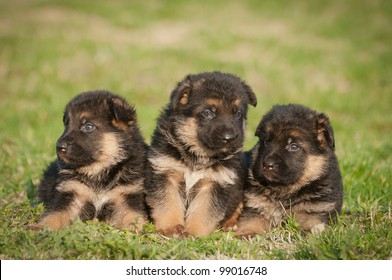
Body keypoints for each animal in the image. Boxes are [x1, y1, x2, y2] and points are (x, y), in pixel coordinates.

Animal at [32, 91, 147, 231]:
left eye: (88, 126)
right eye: (66, 125)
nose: (59, 147)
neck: (99, 171)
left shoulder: (127, 195)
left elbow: (133, 216)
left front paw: (137, 229)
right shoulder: (72, 193)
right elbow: (55, 214)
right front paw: (40, 227)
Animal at [144, 71, 258, 236]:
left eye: (237, 113)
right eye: (208, 113)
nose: (229, 138)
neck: (198, 155)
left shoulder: (215, 184)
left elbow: (204, 211)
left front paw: (193, 232)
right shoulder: (165, 174)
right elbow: (167, 203)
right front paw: (171, 227)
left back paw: (231, 224)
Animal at [236, 104, 344, 237]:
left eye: (294, 146)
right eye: (266, 141)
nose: (267, 164)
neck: (286, 191)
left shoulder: (315, 210)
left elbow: (313, 225)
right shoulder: (256, 206)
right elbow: (251, 220)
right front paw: (246, 233)